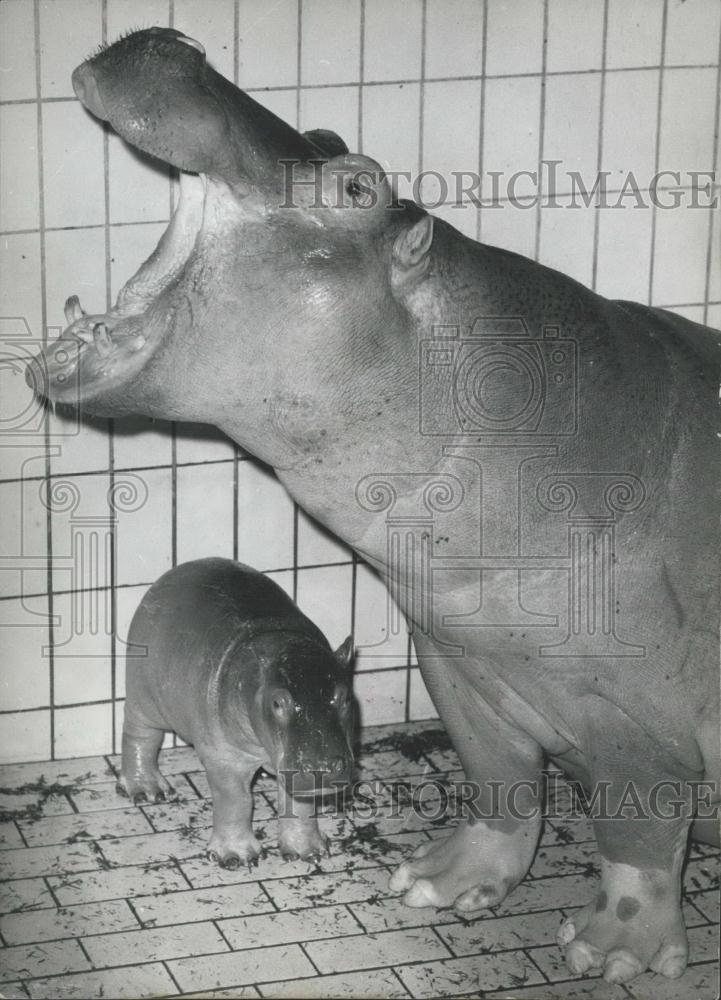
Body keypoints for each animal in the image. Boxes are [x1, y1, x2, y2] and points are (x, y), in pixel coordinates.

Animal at [119, 557, 354, 866]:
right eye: (278, 702)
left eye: (344, 696)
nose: (323, 770)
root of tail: (172, 573)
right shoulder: (225, 755)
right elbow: (237, 801)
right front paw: (237, 857)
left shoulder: (291, 762)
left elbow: (298, 804)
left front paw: (308, 851)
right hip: (143, 697)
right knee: (140, 735)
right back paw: (149, 791)